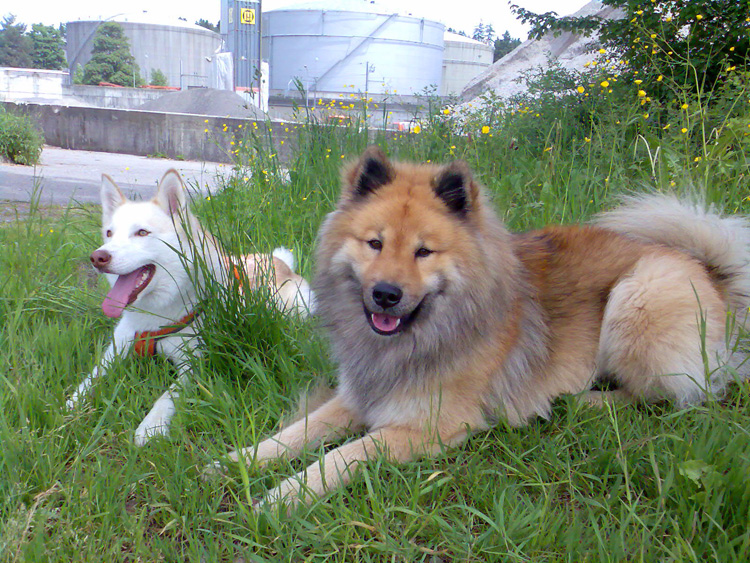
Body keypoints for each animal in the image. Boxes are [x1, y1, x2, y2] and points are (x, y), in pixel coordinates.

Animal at [67, 167, 314, 446]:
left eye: (142, 233)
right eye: (109, 234)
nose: (98, 257)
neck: (155, 315)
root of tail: (278, 261)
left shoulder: (194, 364)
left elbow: (167, 396)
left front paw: (150, 426)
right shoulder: (117, 349)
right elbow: (90, 378)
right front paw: (71, 405)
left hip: (296, 308)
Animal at [213, 148, 750, 508]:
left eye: (423, 251)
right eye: (374, 243)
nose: (385, 294)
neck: (417, 339)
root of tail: (712, 271)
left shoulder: (426, 426)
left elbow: (339, 457)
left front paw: (280, 498)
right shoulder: (359, 394)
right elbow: (296, 434)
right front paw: (235, 461)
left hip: (637, 297)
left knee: (673, 396)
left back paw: (586, 401)